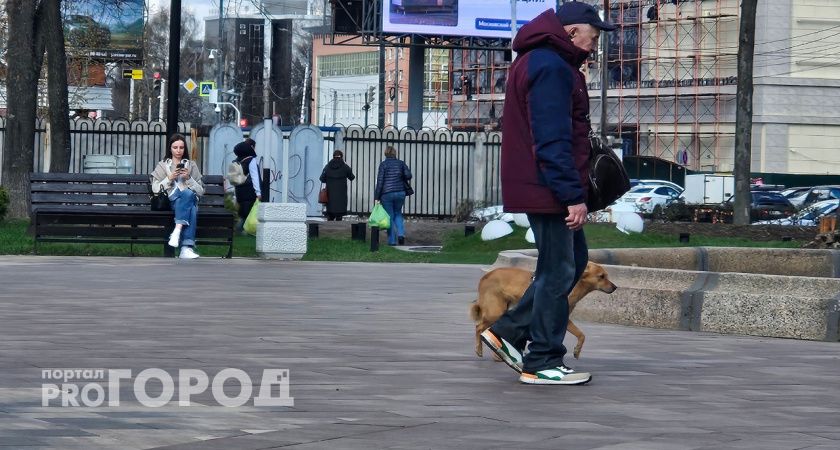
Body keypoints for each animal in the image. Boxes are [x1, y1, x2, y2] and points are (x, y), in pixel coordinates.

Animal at [472, 262, 616, 360]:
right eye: (601, 276)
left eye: (606, 276)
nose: (615, 287)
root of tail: (486, 276)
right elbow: (580, 335)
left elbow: (580, 335)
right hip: (496, 311)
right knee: (479, 328)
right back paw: (480, 350)